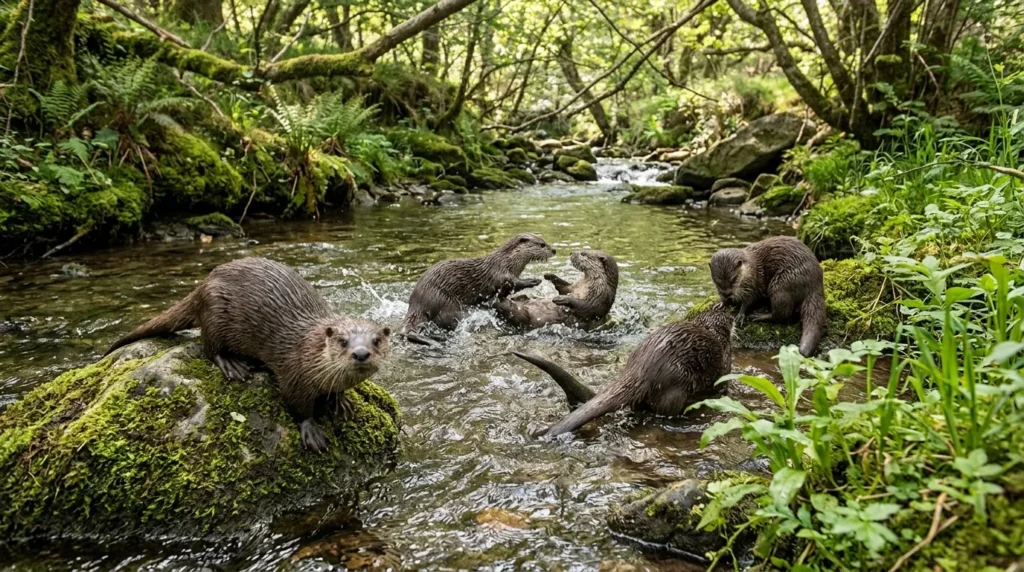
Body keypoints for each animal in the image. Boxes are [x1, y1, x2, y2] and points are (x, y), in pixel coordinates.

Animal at [105, 257, 391, 452]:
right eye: (343, 341)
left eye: (376, 341)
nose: (361, 353)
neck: (310, 351)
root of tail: (203, 284)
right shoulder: (294, 375)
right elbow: (298, 408)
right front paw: (312, 431)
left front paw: (340, 401)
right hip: (214, 313)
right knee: (209, 348)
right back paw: (232, 365)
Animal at [402, 233, 556, 344]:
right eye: (542, 244)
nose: (554, 250)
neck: (507, 262)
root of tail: (416, 303)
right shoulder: (500, 272)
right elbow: (513, 283)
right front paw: (532, 280)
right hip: (444, 300)